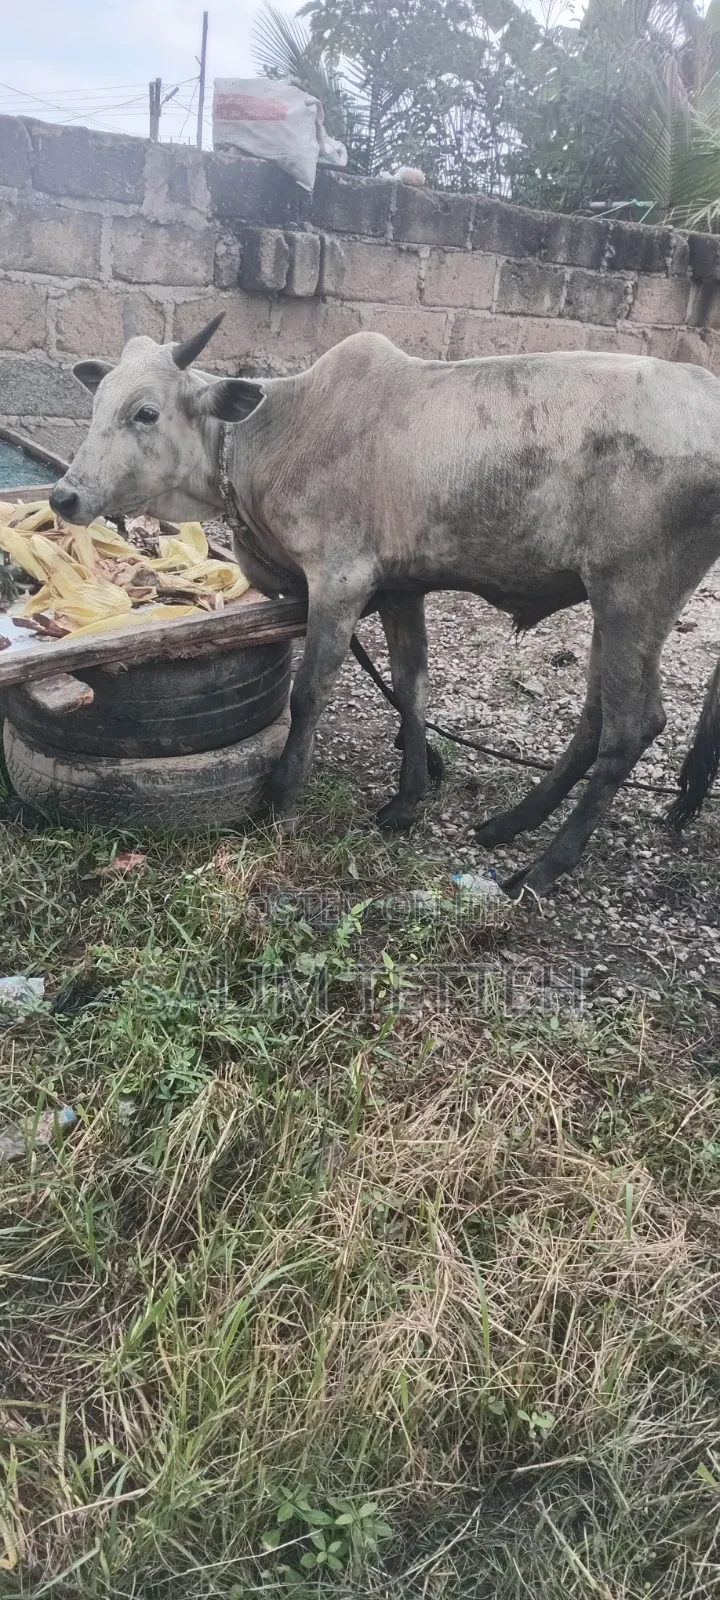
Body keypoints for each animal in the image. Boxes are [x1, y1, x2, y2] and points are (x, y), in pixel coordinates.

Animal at [49, 314, 720, 895]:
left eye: (146, 412)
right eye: (97, 403)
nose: (64, 497)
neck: (274, 434)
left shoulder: (339, 580)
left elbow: (310, 692)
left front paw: (281, 800)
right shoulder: (401, 590)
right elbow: (410, 685)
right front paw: (408, 797)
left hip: (636, 593)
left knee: (633, 726)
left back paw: (544, 865)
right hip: (613, 603)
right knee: (596, 719)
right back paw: (513, 823)